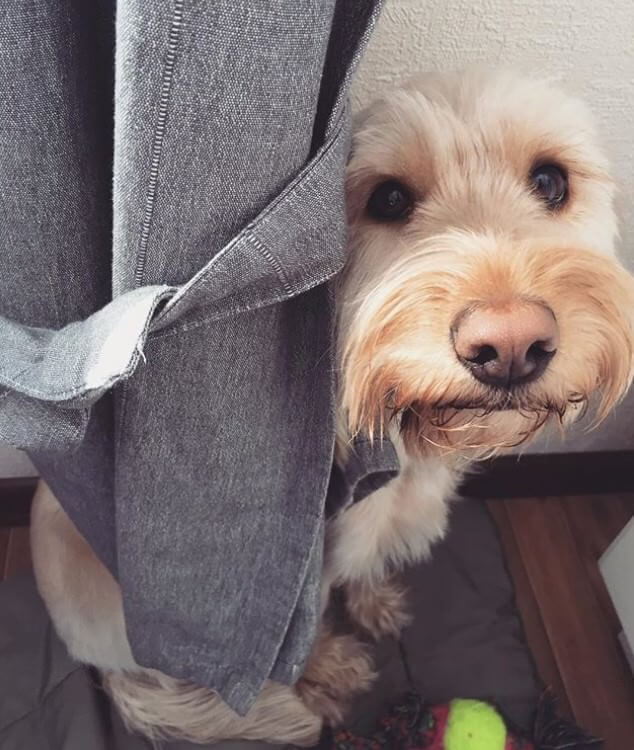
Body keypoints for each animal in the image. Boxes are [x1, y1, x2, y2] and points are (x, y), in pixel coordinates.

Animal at [30, 69, 634, 748]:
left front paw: (375, 604)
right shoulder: (299, 573)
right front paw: (327, 670)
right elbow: (304, 632)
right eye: (389, 199)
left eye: (551, 181)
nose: (508, 346)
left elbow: (365, 568)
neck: (402, 440)